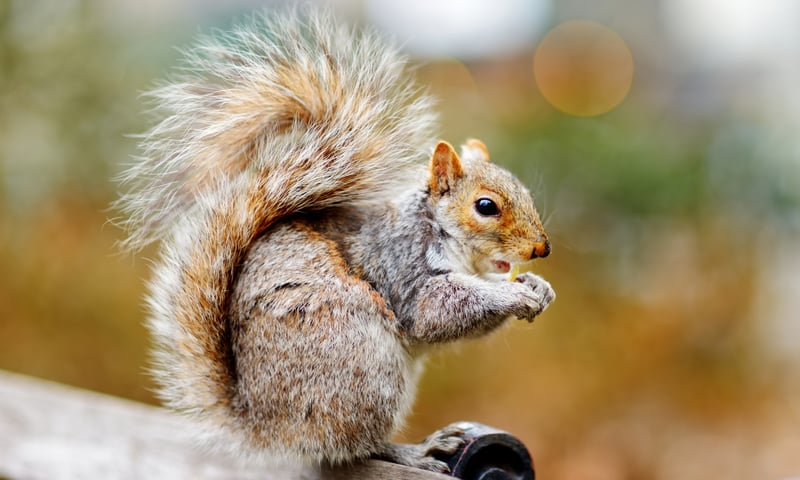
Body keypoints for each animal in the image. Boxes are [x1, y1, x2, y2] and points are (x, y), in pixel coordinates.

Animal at [117, 10, 555, 473]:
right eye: (485, 206)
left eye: (525, 191)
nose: (540, 249)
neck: (446, 241)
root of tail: (267, 425)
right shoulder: (400, 265)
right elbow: (435, 312)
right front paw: (512, 295)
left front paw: (538, 287)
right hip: (362, 364)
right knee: (353, 445)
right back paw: (414, 451)